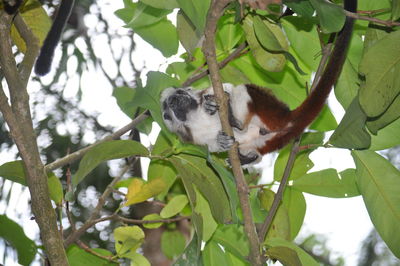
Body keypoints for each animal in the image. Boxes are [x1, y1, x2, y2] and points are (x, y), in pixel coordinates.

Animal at [159, 0, 356, 166]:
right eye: (170, 105)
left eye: (178, 96)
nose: (176, 100)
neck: (194, 116)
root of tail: (287, 117)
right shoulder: (191, 137)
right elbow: (210, 146)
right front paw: (220, 143)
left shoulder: (205, 93)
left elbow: (225, 88)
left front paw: (213, 104)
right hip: (271, 139)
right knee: (255, 145)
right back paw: (247, 157)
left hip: (269, 112)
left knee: (244, 90)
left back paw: (234, 120)